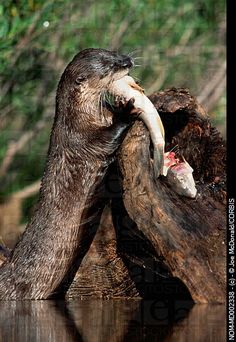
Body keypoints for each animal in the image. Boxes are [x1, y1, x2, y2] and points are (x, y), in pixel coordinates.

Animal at [0, 48, 136, 300]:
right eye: (108, 65)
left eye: (113, 52)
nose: (127, 60)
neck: (79, 118)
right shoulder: (80, 141)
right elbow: (107, 139)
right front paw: (126, 110)